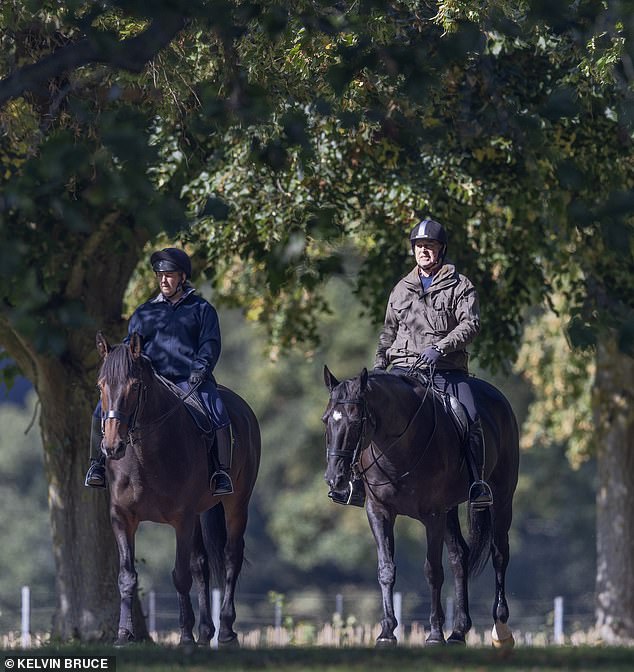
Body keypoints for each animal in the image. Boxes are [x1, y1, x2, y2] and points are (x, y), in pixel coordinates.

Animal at [96, 330, 260, 644]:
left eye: (135, 386)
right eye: (101, 386)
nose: (112, 446)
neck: (145, 457)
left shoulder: (181, 519)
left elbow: (180, 576)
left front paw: (185, 636)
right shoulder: (122, 519)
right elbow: (127, 576)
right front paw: (123, 635)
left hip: (237, 504)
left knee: (231, 556)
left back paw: (226, 630)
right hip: (199, 514)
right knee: (201, 564)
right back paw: (206, 631)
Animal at [324, 364, 516, 648]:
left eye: (356, 421)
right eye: (326, 419)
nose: (334, 479)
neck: (397, 448)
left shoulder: (433, 515)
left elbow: (432, 570)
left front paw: (434, 634)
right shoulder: (379, 512)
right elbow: (386, 569)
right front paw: (386, 632)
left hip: (501, 499)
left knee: (499, 553)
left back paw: (500, 629)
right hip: (450, 510)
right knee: (459, 556)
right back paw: (458, 632)